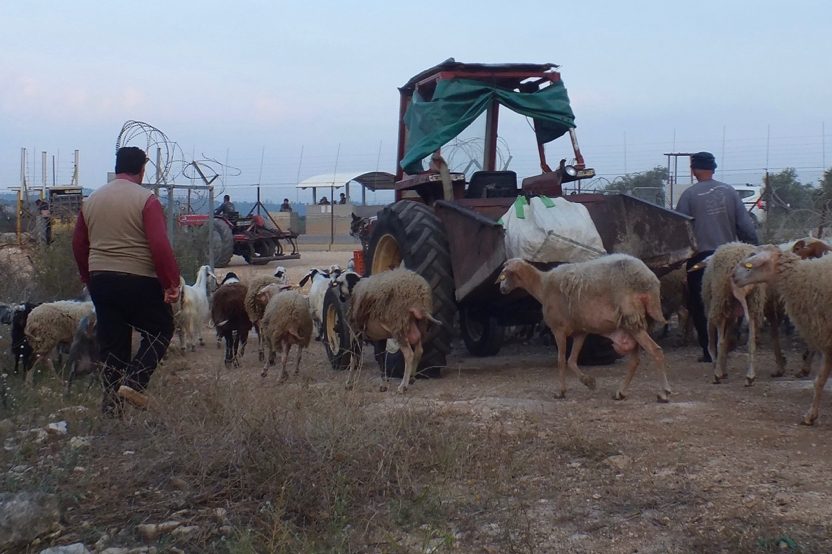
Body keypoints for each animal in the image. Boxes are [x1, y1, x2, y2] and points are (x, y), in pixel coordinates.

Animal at [494, 254, 668, 402]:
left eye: (505, 274)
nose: (501, 289)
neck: (543, 286)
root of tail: (650, 280)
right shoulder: (580, 331)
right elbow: (571, 360)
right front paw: (588, 381)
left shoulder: (558, 329)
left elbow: (561, 360)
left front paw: (561, 391)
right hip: (633, 324)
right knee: (635, 361)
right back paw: (621, 392)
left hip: (631, 319)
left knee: (656, 351)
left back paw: (663, 393)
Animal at [732, 246, 832, 422]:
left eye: (749, 265)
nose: (733, 276)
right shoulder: (827, 340)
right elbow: (820, 380)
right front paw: (812, 415)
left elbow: (819, 379)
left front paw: (810, 415)